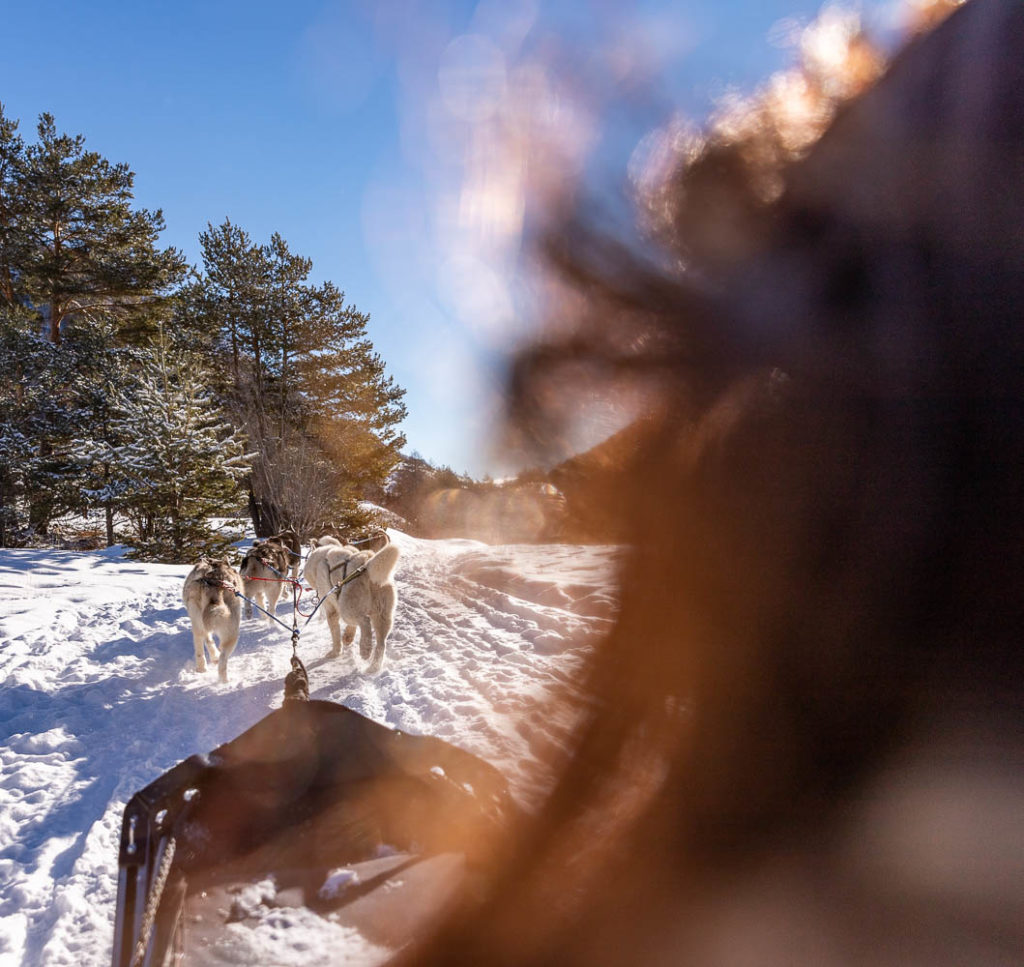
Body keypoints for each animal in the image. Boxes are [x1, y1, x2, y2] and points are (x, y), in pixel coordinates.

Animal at [303, 540, 399, 676]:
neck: (321, 558)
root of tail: (366, 564)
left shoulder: (332, 609)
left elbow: (335, 634)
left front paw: (335, 652)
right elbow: (351, 628)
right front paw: (347, 637)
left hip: (346, 610)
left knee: (365, 622)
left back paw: (365, 650)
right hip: (382, 615)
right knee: (381, 644)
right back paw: (373, 667)